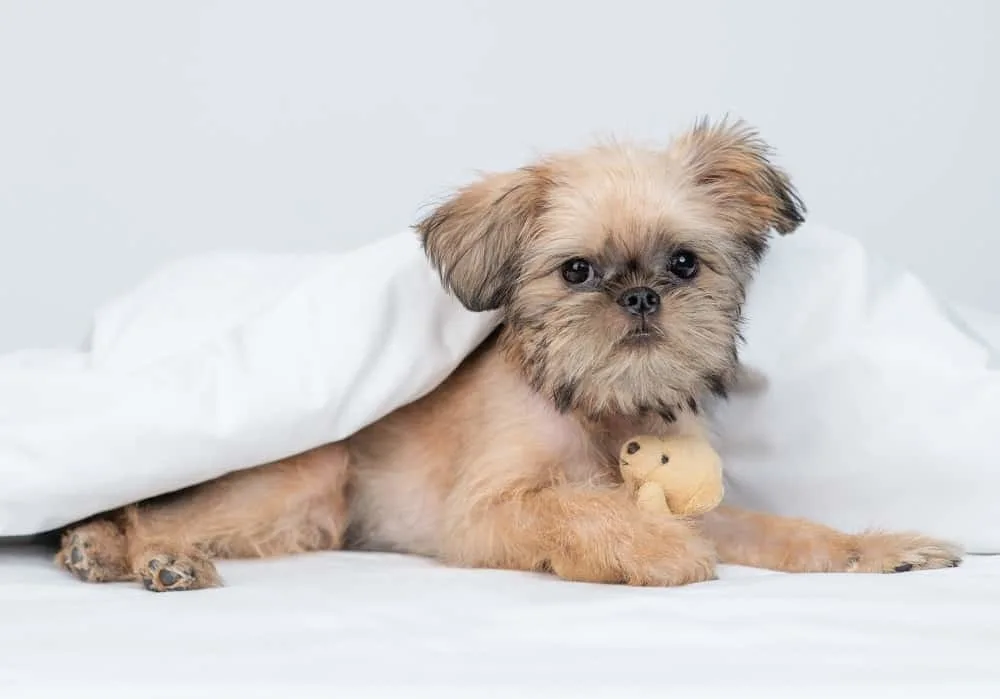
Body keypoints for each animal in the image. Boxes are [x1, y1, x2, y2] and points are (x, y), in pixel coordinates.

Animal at [54, 120, 960, 592]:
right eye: (577, 272)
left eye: (684, 265)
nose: (640, 297)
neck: (602, 412)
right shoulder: (486, 511)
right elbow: (582, 507)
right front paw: (659, 550)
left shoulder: (713, 505)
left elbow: (784, 530)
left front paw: (874, 548)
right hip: (306, 471)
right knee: (154, 511)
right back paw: (133, 552)